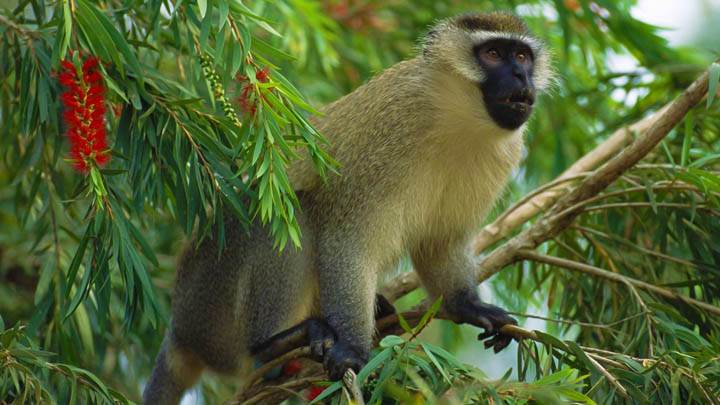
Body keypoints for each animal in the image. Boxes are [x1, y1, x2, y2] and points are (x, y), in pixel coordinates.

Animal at [143, 11, 553, 404]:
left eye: (521, 57)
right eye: (493, 54)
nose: (520, 76)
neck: (458, 119)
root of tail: (180, 327)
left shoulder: (504, 153)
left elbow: (440, 242)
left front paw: (468, 305)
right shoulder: (391, 128)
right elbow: (349, 241)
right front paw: (354, 348)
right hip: (213, 306)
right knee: (291, 214)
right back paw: (272, 347)